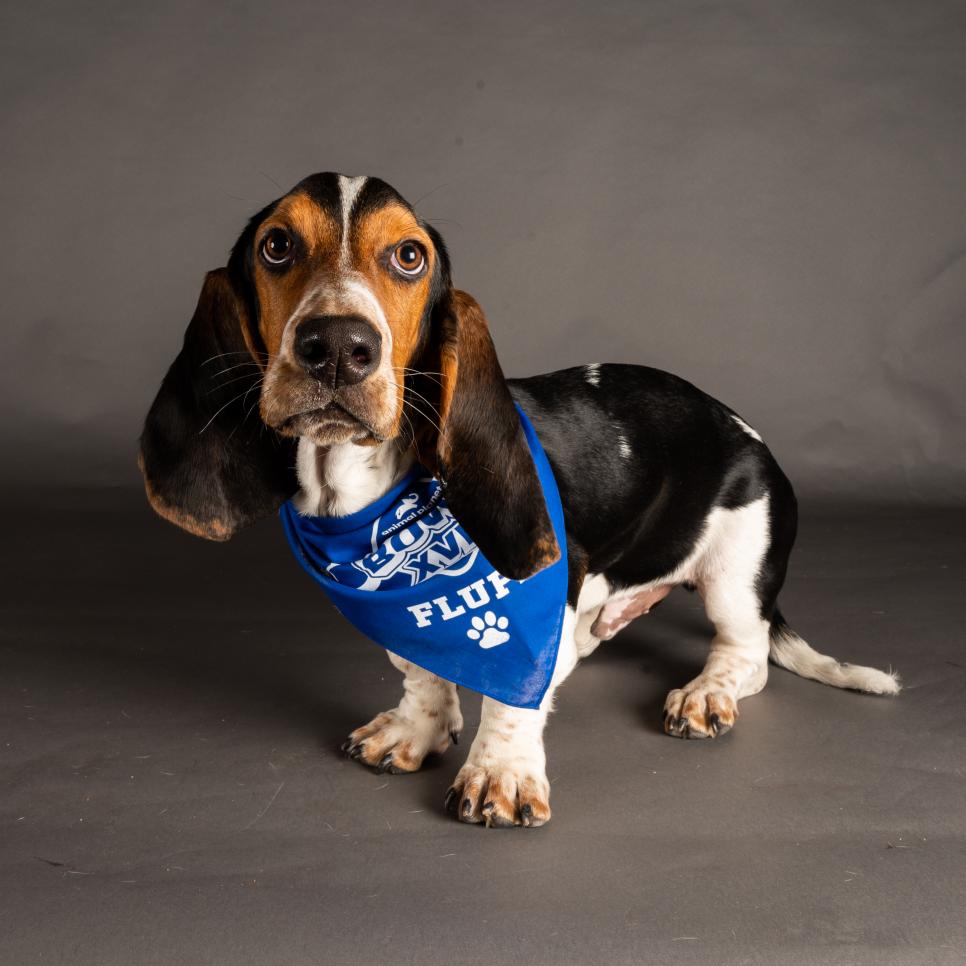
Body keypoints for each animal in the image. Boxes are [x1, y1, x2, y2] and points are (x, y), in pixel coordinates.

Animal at [140, 170, 904, 828]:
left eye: (409, 256)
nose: (336, 346)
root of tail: (749, 435)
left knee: (746, 653)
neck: (360, 498)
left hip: (735, 570)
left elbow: (513, 699)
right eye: (277, 245)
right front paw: (418, 729)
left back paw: (704, 694)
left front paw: (500, 772)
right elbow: (422, 670)